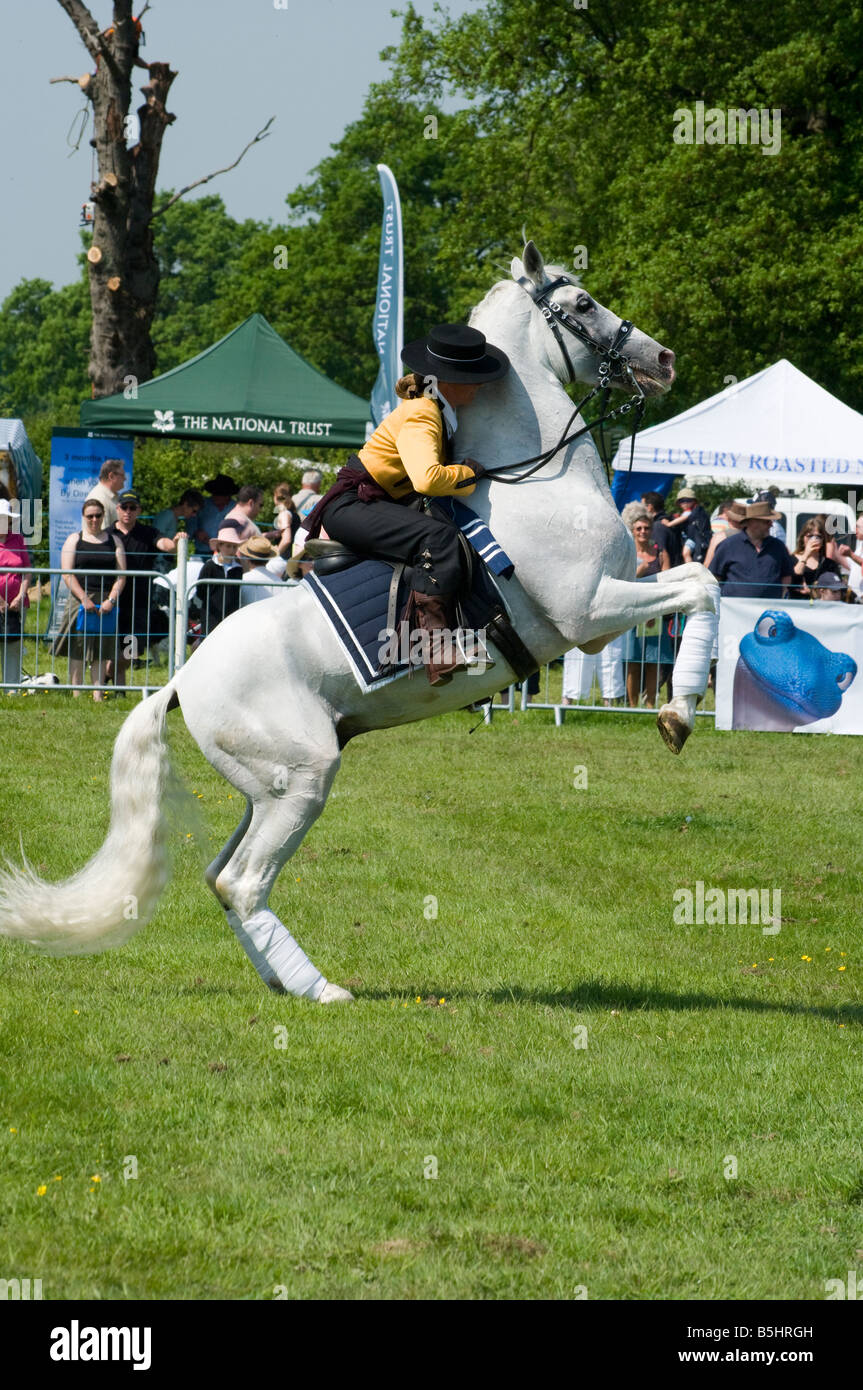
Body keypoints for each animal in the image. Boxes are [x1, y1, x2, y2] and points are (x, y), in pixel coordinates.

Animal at [0, 241, 717, 1000]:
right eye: (581, 303)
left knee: (221, 878)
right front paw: (678, 716)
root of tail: (180, 681)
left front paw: (680, 709)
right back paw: (321, 991)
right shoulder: (588, 613)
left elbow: (699, 583)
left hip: (265, 788)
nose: (664, 357)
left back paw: (285, 982)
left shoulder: (608, 610)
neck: (537, 484)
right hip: (303, 776)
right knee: (244, 882)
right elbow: (702, 593)